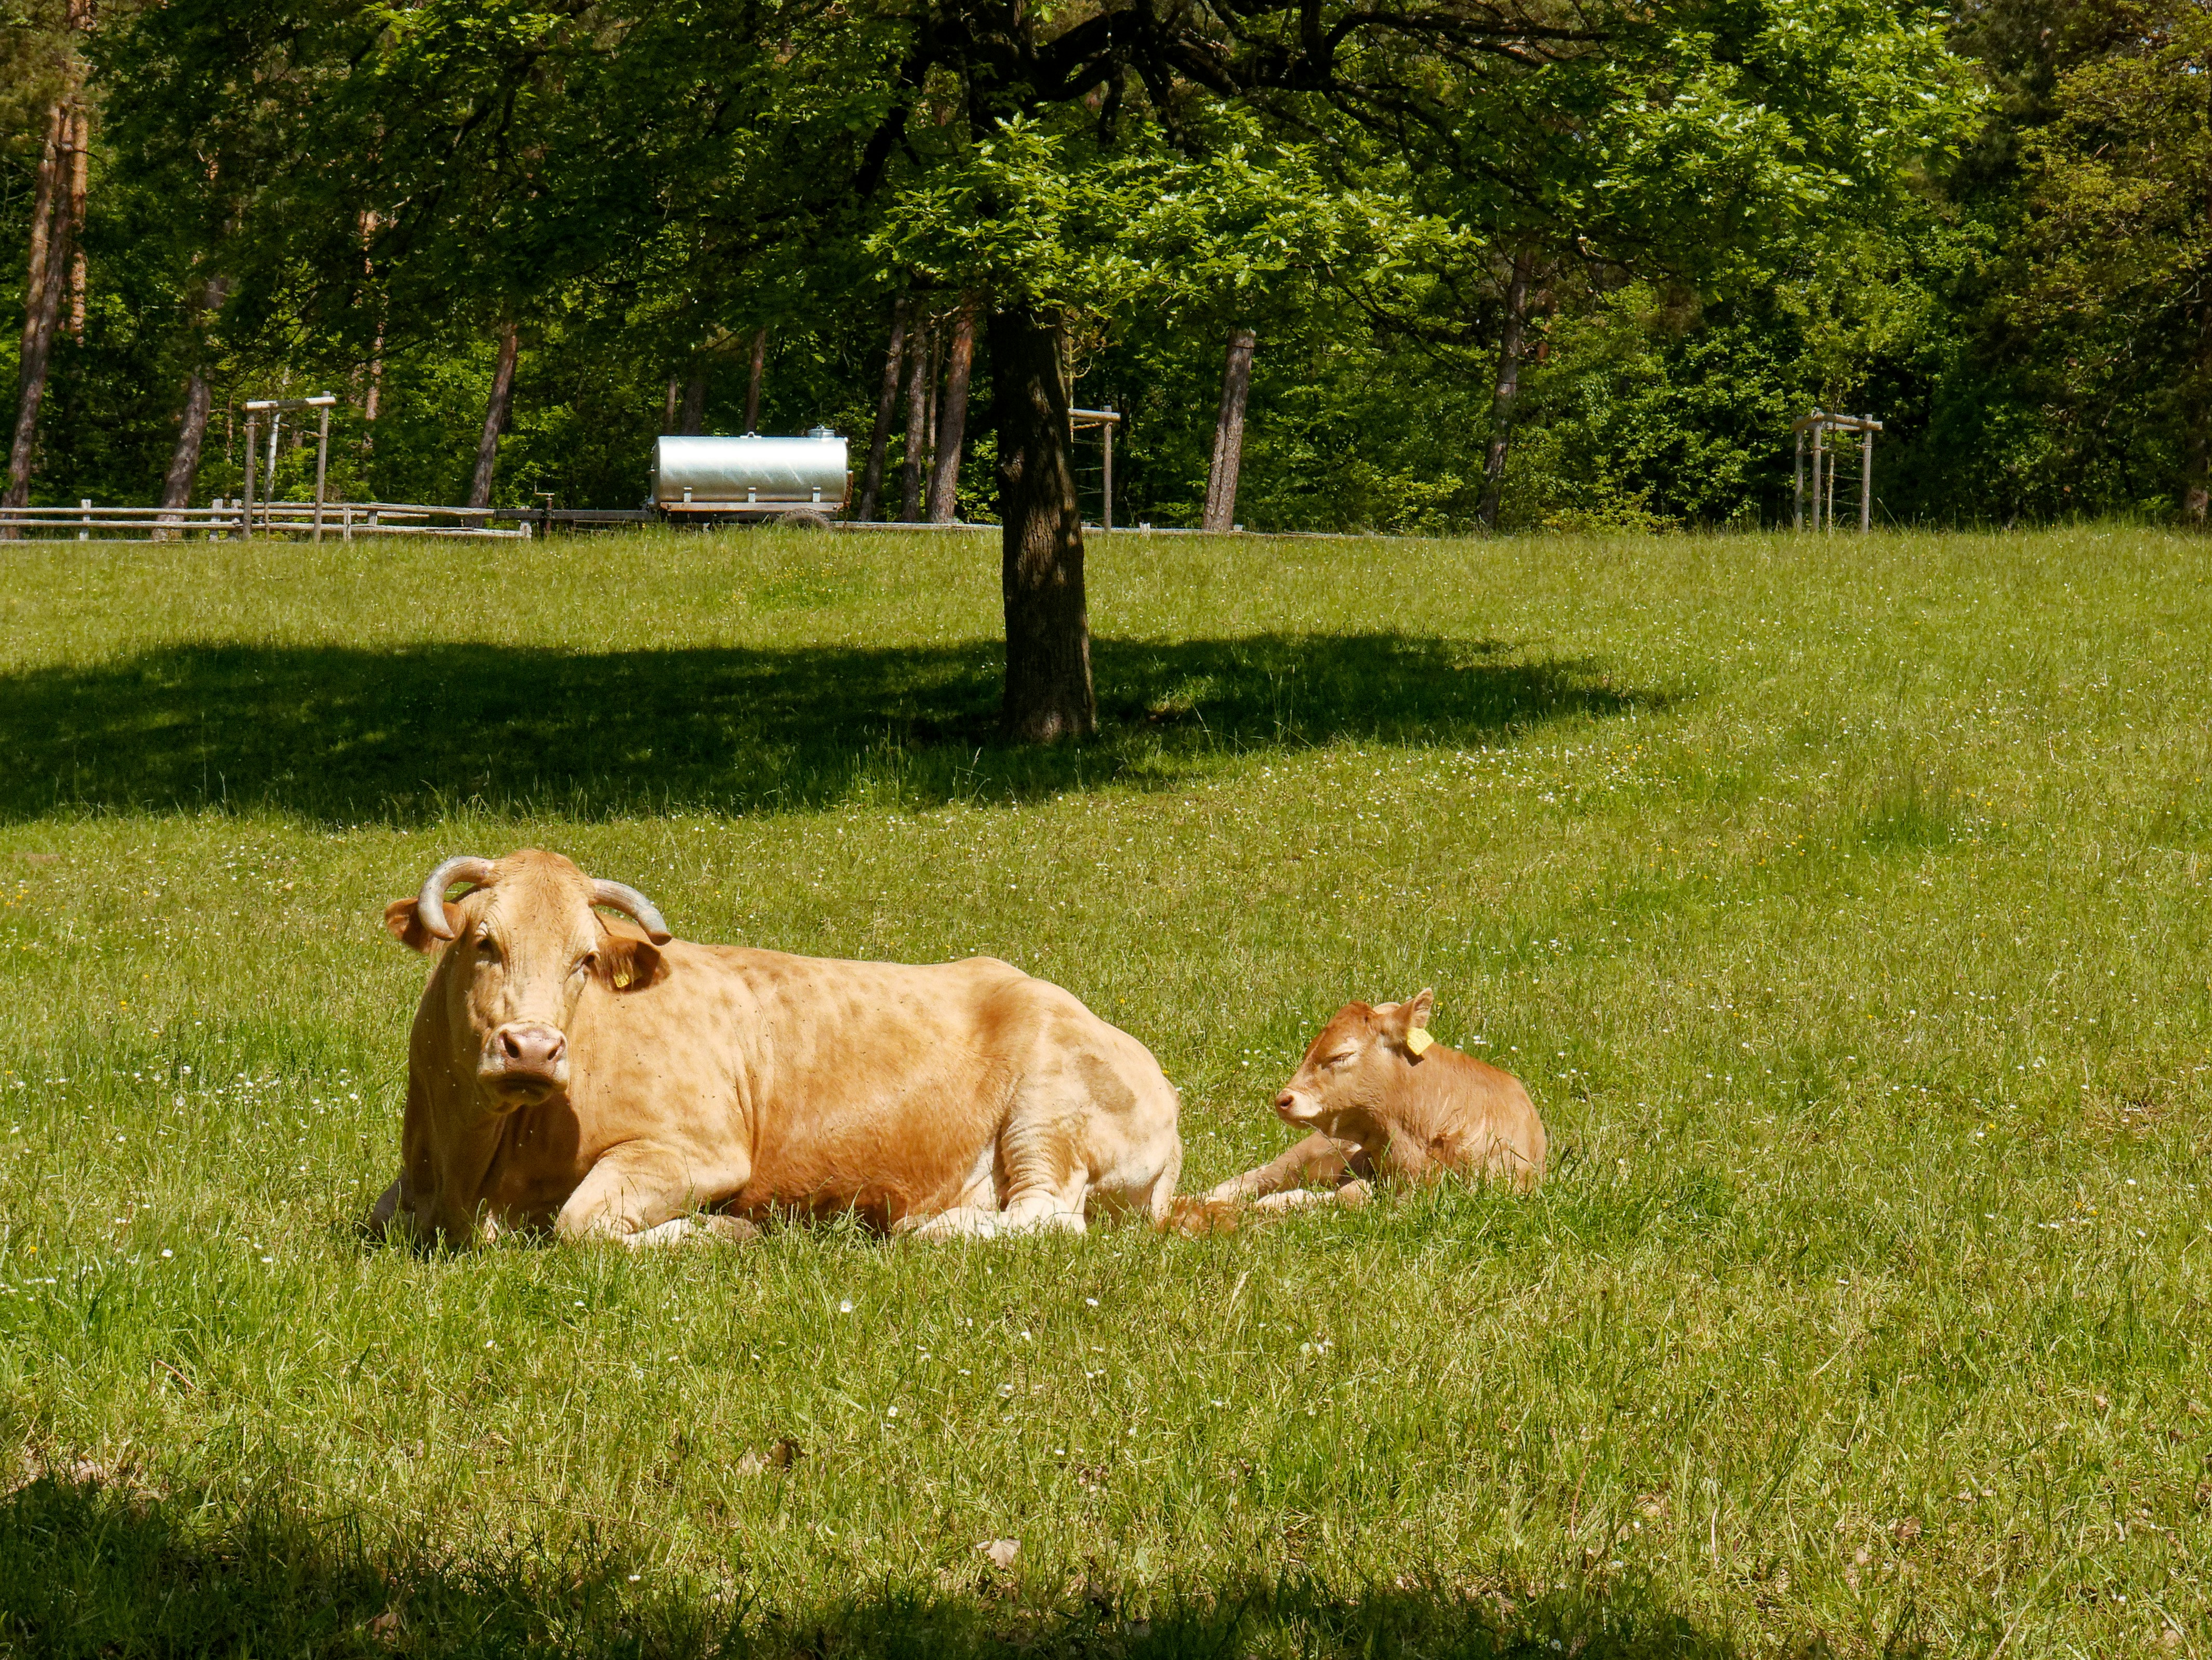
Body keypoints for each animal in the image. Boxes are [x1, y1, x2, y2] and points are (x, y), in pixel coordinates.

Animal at [367, 849, 1183, 1246]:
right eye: (483, 941)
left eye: (586, 959)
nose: (533, 1048)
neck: (473, 1168)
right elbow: (383, 1215)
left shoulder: (698, 1150)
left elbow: (581, 1224)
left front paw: (719, 1230)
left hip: (1048, 1114)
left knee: (1047, 1217)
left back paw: (917, 1227)